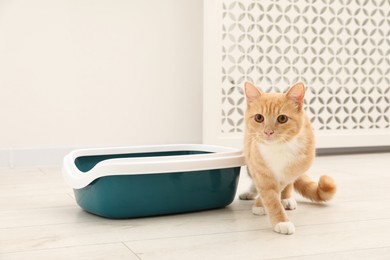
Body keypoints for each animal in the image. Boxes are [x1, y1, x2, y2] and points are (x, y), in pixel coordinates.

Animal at [242, 82, 336, 235]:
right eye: (259, 118)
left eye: (282, 119)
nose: (268, 132)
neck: (277, 148)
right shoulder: (258, 167)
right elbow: (269, 195)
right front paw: (279, 220)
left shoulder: (296, 166)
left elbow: (279, 188)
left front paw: (273, 208)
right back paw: (250, 192)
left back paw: (286, 198)